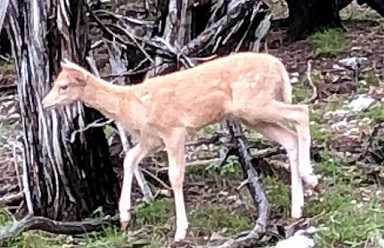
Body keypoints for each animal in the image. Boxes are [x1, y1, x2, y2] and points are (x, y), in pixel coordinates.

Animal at [41, 51, 318, 240]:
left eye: (63, 86)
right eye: (55, 82)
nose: (44, 103)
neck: (132, 105)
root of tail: (279, 66)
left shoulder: (174, 130)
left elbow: (175, 176)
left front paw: (181, 230)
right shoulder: (151, 139)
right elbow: (129, 159)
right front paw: (124, 216)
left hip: (255, 102)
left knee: (302, 111)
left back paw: (310, 176)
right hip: (252, 114)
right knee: (290, 138)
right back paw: (297, 206)